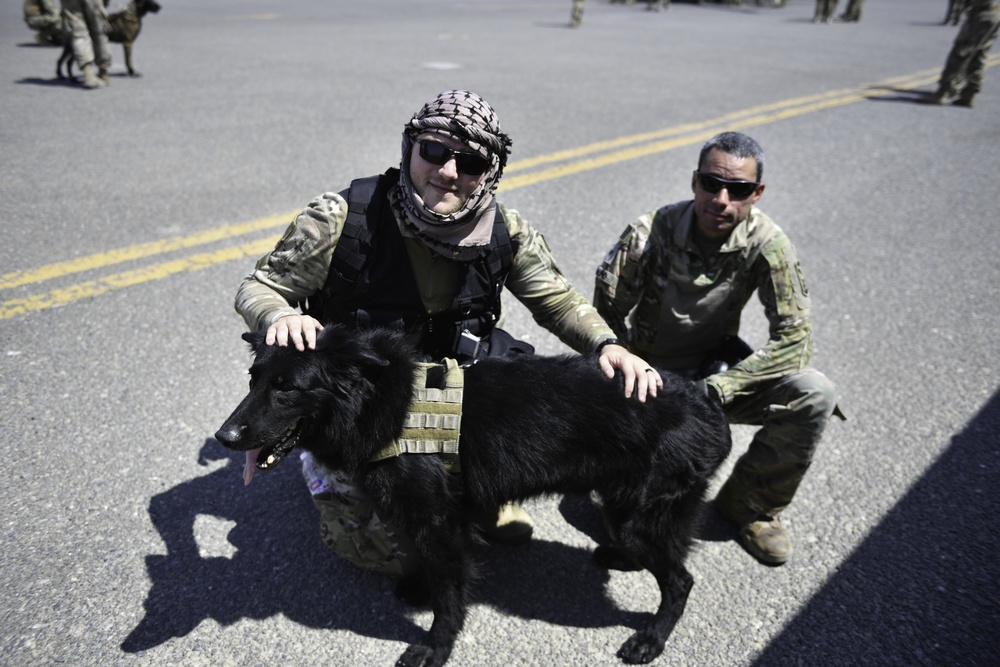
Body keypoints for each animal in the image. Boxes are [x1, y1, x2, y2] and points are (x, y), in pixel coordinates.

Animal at [215, 326, 732, 664]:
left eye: (286, 388)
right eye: (253, 380)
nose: (224, 436)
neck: (380, 402)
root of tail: (707, 398)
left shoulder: (438, 524)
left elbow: (448, 597)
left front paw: (436, 647)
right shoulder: (441, 521)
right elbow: (433, 571)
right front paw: (419, 587)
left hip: (638, 515)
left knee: (679, 580)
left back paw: (652, 639)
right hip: (626, 506)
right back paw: (620, 558)